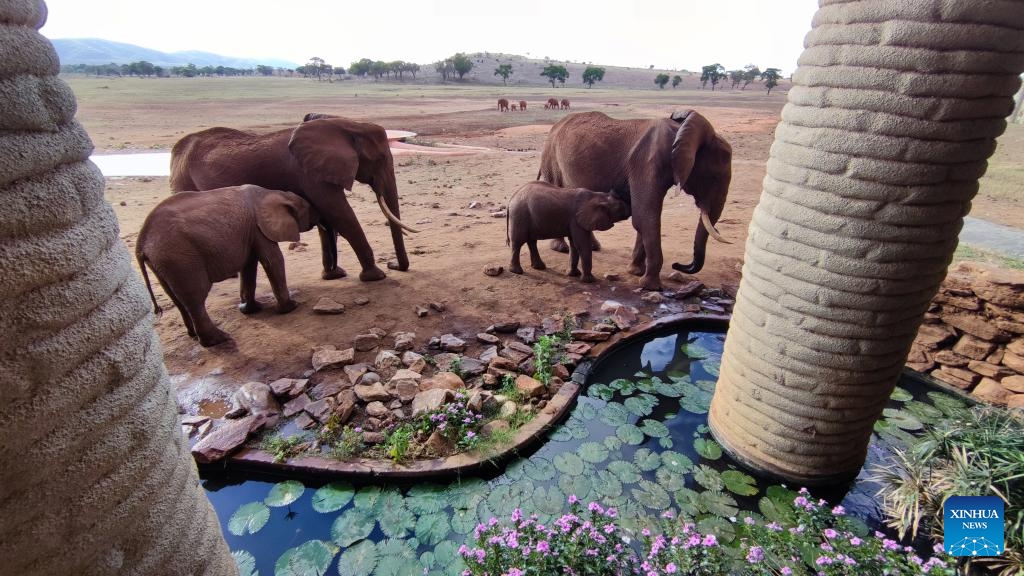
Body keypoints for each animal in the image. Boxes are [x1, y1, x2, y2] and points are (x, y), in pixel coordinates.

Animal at [136, 185, 318, 347]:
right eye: (309, 209)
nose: (318, 219)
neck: (276, 194)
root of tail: (141, 243)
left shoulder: (248, 232)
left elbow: (249, 267)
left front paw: (249, 309)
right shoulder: (258, 228)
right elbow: (272, 260)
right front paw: (291, 307)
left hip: (162, 263)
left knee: (177, 299)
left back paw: (193, 335)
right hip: (179, 257)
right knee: (195, 298)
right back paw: (219, 340)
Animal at [170, 114, 416, 283]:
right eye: (380, 159)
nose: (393, 264)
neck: (346, 124)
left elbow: (328, 218)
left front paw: (334, 275)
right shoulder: (307, 172)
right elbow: (339, 213)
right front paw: (376, 276)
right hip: (184, 180)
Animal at [538, 110, 732, 290]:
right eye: (714, 178)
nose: (677, 264)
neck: (681, 132)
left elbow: (644, 216)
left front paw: (636, 272)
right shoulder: (646, 163)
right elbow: (645, 217)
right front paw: (650, 285)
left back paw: (593, 247)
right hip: (551, 160)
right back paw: (560, 248)